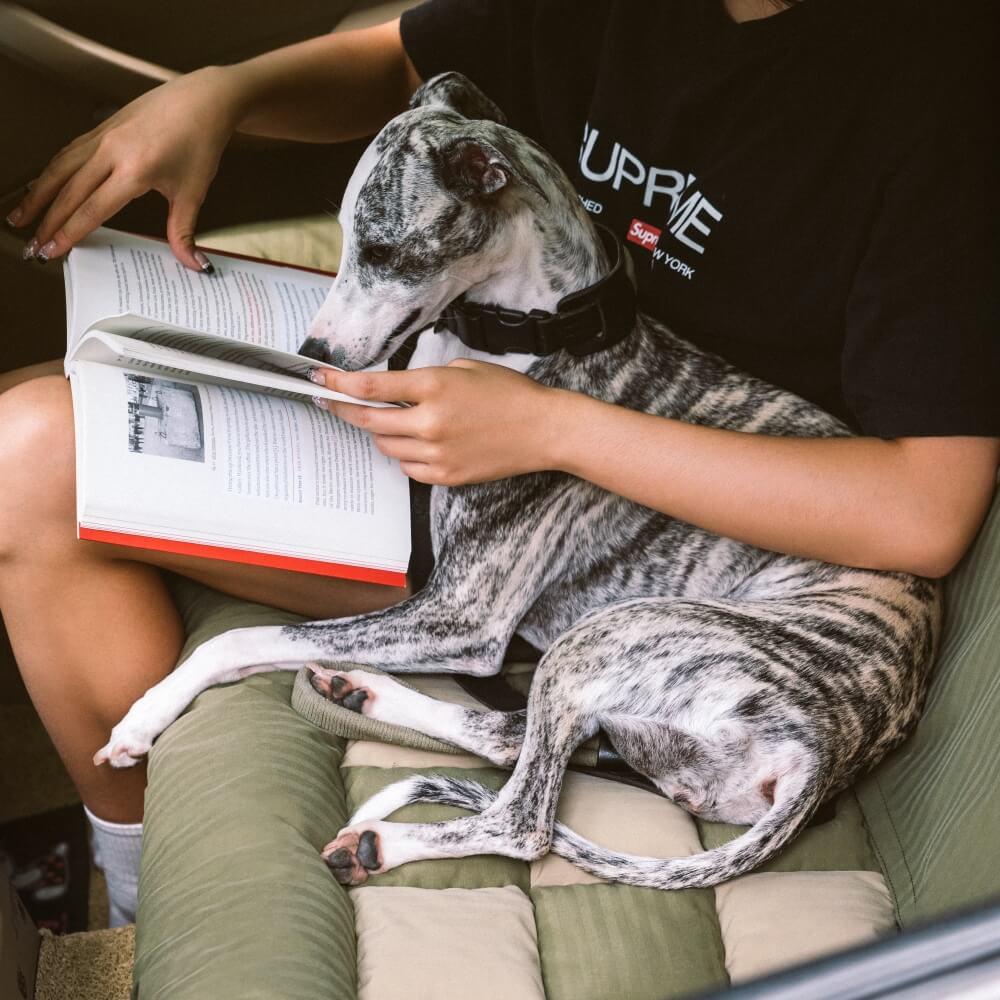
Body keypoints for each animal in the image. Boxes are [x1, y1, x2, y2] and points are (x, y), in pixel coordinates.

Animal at [94, 76, 936, 892]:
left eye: (383, 248)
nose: (315, 355)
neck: (531, 335)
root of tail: (824, 754)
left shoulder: (462, 614)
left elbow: (244, 637)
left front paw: (144, 716)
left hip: (602, 640)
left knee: (523, 817)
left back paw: (382, 839)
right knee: (509, 737)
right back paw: (363, 693)